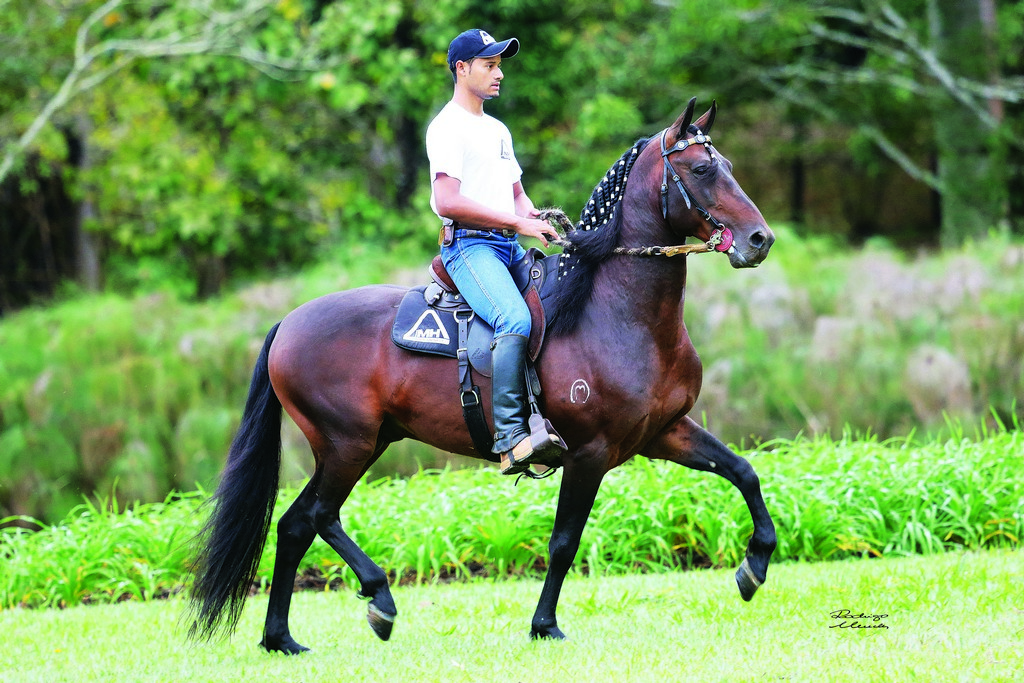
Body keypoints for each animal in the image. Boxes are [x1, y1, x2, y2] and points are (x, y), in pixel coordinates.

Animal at [186, 97, 777, 653]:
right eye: (701, 169)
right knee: (319, 516)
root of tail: (288, 324)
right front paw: (544, 625)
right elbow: (564, 542)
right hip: (346, 444)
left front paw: (755, 566)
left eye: (726, 164)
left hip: (365, 443)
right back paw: (378, 599)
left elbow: (743, 471)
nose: (760, 240)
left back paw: (280, 639)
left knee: (295, 525)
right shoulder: (589, 454)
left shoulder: (663, 432)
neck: (614, 310)